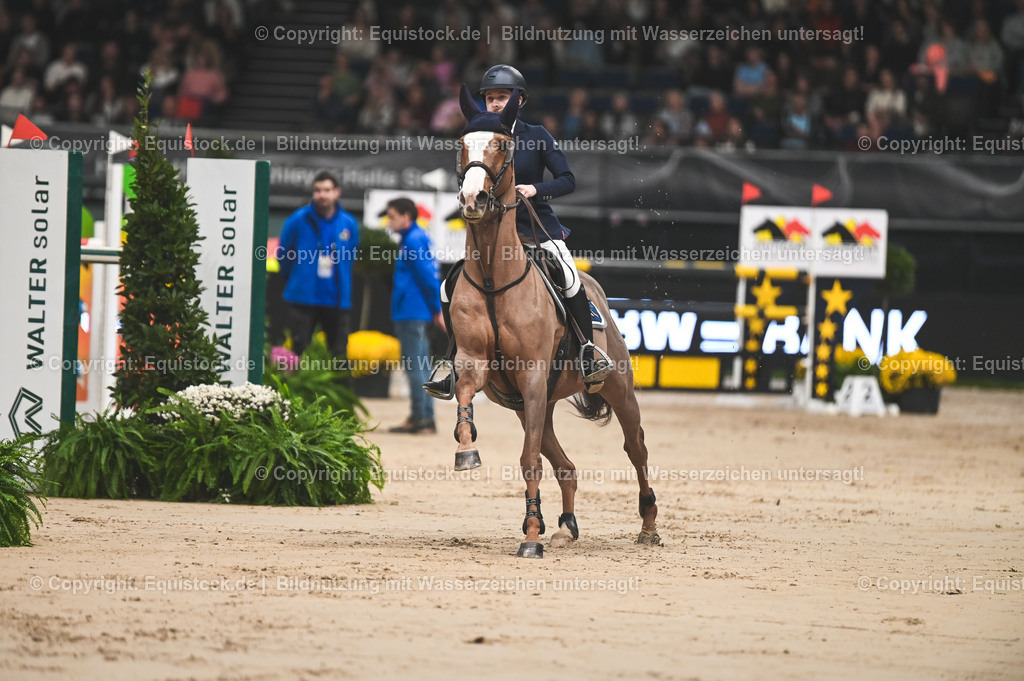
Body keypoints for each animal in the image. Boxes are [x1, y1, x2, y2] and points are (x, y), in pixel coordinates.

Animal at [446, 84, 659, 558]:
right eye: (461, 145)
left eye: (502, 145)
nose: (473, 200)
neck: (494, 275)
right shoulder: (476, 363)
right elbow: (466, 397)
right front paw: (467, 451)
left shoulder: (531, 375)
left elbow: (528, 462)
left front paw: (529, 538)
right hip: (534, 406)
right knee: (565, 465)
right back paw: (563, 526)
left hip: (616, 390)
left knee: (635, 447)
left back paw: (648, 525)